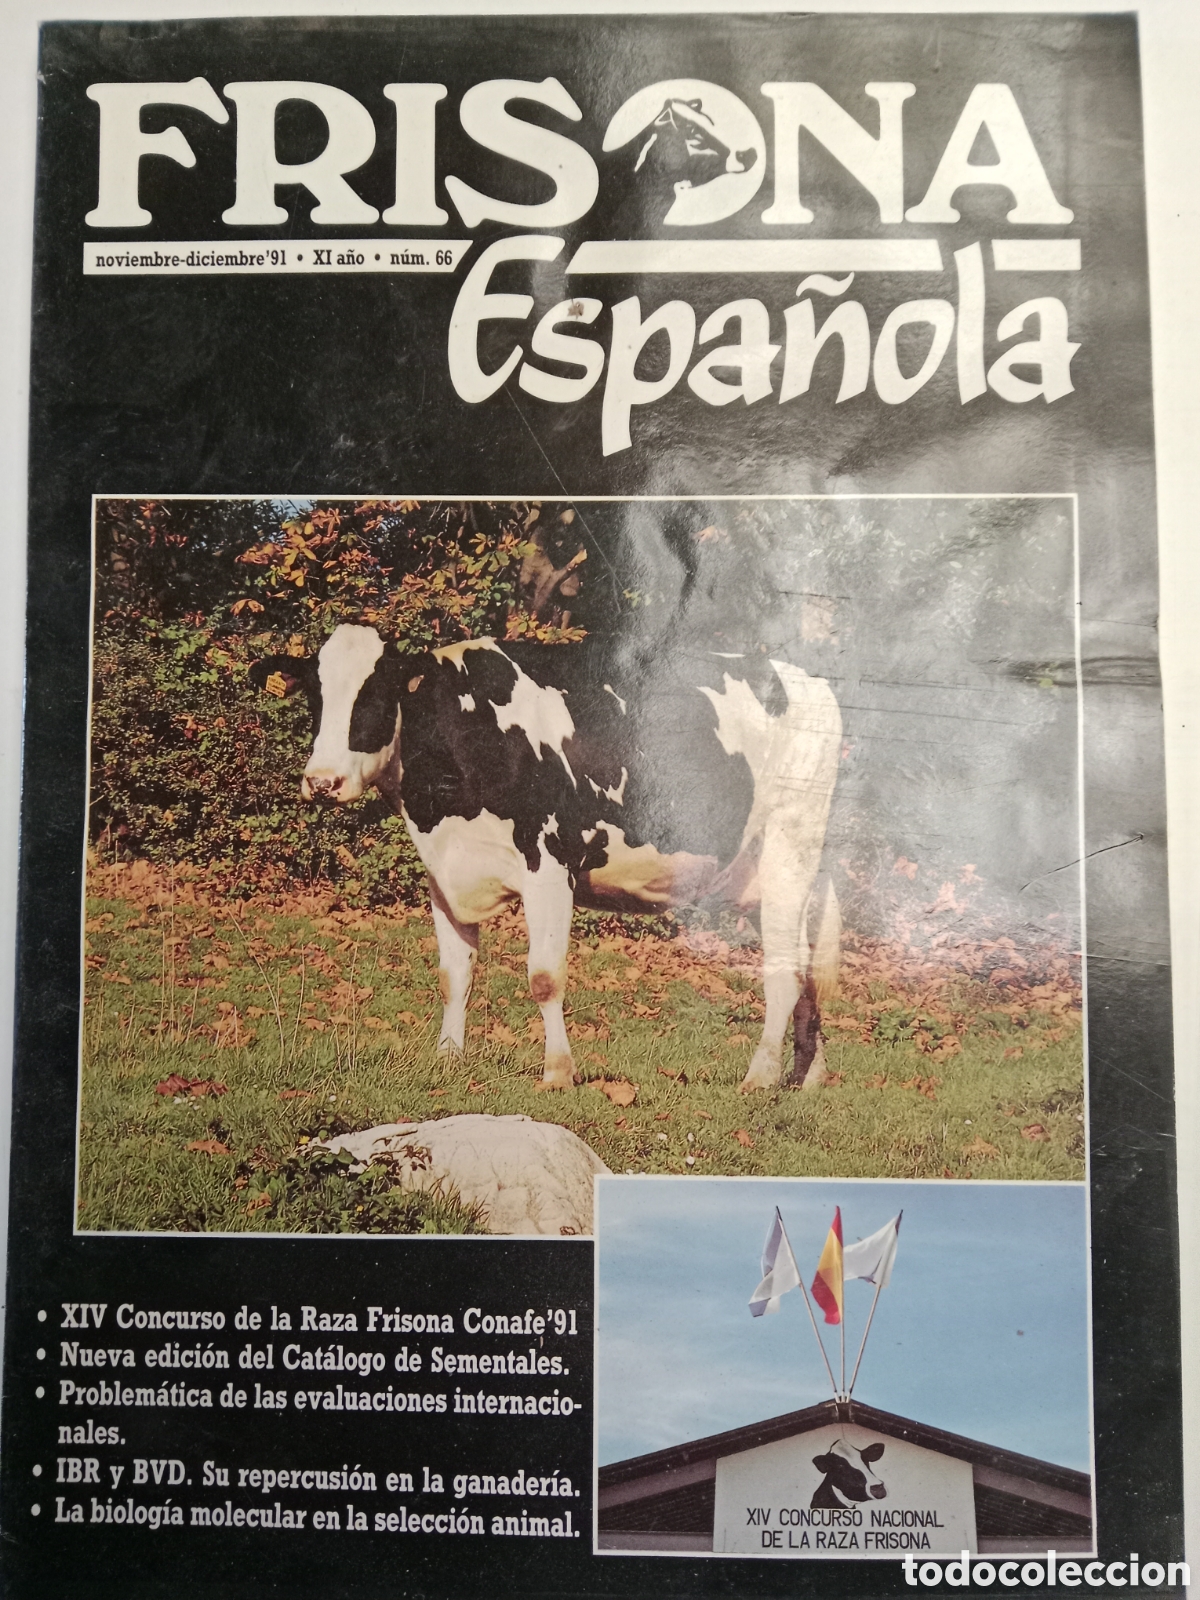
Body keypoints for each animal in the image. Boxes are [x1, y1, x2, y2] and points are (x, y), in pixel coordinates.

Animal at [250, 624, 842, 1092]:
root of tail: (809, 682)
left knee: (786, 970)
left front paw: (558, 1072)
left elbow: (544, 976)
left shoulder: (550, 866)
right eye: (316, 698)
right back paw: (807, 1077)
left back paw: (760, 1077)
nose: (322, 781)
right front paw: (447, 1058)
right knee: (809, 966)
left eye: (375, 695)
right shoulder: (445, 875)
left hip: (790, 846)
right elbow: (453, 975)